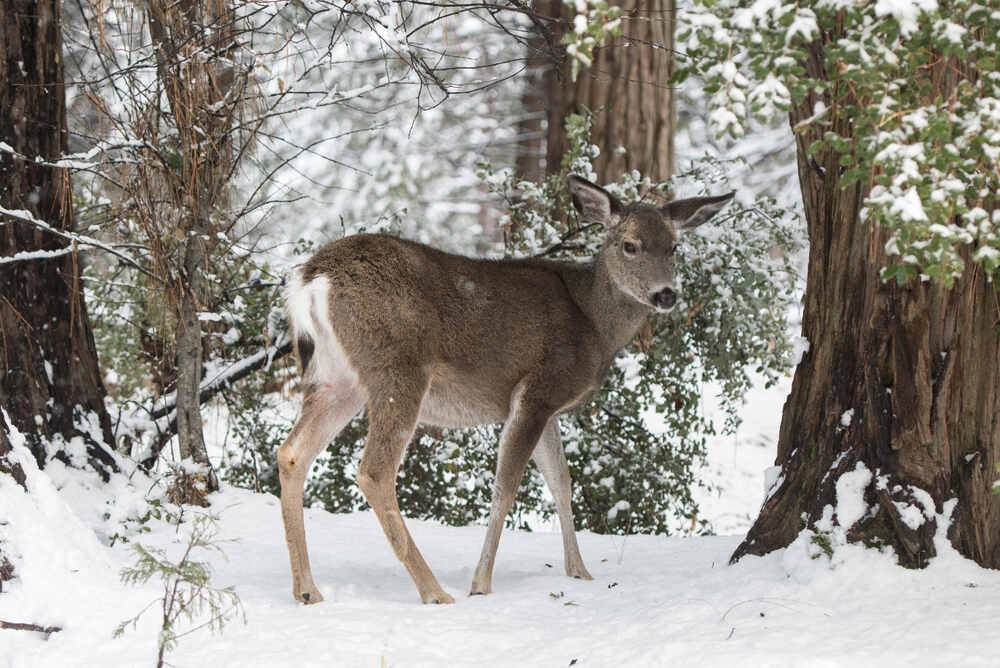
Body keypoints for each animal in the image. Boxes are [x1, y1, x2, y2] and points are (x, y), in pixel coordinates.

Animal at [278, 175, 734, 605]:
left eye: (674, 247)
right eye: (630, 245)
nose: (666, 294)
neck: (594, 322)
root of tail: (312, 278)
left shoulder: (548, 407)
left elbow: (561, 482)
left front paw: (580, 573)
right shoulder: (537, 390)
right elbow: (507, 486)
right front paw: (481, 584)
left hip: (334, 378)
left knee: (291, 453)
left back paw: (307, 590)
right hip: (398, 367)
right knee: (374, 470)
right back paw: (434, 591)